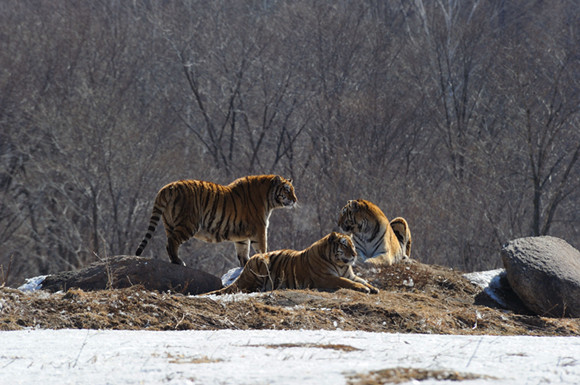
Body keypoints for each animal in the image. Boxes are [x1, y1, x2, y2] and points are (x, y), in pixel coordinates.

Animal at [135, 176, 300, 266]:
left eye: (293, 189)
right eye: (287, 190)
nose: (295, 200)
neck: (268, 199)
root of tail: (168, 187)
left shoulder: (241, 236)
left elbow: (243, 253)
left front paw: (245, 266)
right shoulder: (259, 229)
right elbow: (262, 249)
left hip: (169, 223)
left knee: (169, 242)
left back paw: (174, 261)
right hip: (189, 223)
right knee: (172, 242)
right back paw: (178, 261)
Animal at [206, 231, 378, 294]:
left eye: (353, 245)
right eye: (344, 245)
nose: (355, 254)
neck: (341, 264)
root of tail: (246, 267)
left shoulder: (351, 275)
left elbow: (363, 280)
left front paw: (373, 287)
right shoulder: (326, 278)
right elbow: (345, 282)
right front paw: (364, 288)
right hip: (260, 264)